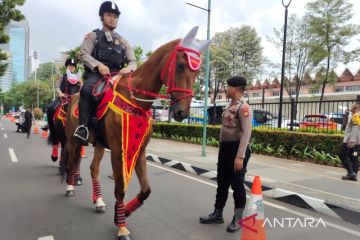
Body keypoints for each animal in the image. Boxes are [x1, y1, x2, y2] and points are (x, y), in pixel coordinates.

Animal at [60, 27, 210, 239]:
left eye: (197, 71)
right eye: (180, 66)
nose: (182, 112)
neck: (136, 100)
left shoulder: (139, 150)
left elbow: (146, 190)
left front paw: (123, 214)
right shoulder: (117, 151)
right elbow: (120, 189)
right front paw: (122, 226)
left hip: (98, 144)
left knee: (93, 169)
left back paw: (99, 201)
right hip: (73, 140)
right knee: (71, 163)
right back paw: (70, 187)